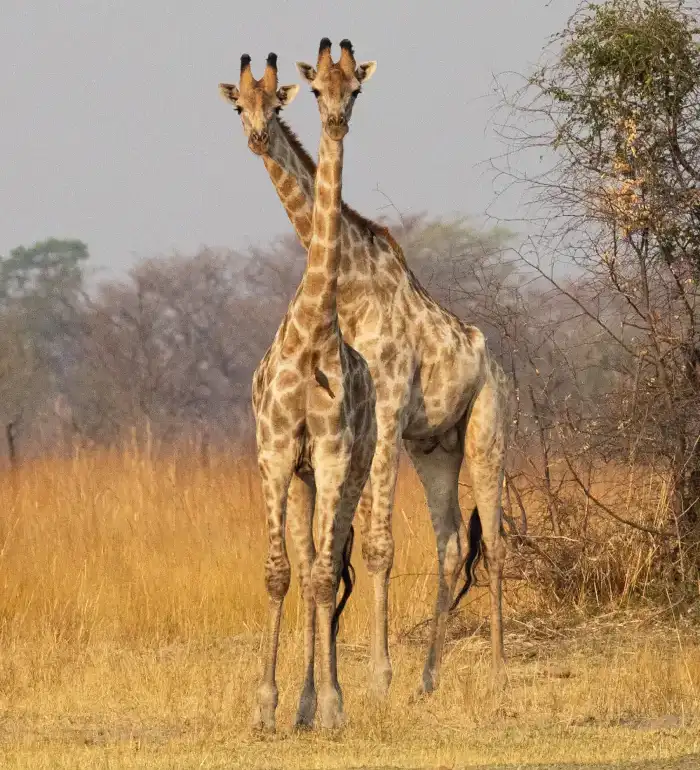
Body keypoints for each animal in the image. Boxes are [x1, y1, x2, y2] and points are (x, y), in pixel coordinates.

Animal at [220, 44, 507, 699]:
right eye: (239, 104)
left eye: (355, 90)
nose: (257, 137)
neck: (348, 285)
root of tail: (487, 352)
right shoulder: (375, 429)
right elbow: (340, 552)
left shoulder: (387, 409)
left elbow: (376, 546)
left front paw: (377, 675)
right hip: (435, 446)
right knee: (452, 543)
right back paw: (428, 676)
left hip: (486, 431)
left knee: (497, 543)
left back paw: (500, 672)